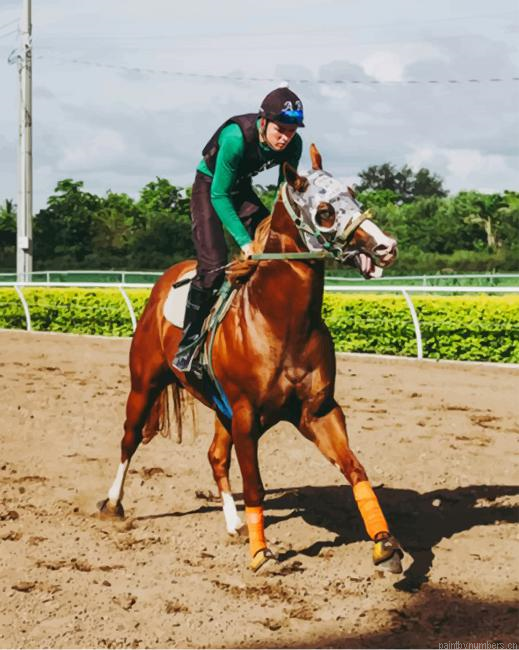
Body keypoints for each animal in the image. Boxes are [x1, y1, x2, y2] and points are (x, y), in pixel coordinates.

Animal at [98, 144, 404, 574]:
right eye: (325, 210)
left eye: (353, 194)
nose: (385, 246)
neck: (281, 320)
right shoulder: (245, 414)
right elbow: (256, 486)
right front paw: (262, 554)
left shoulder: (318, 411)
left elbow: (355, 469)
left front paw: (384, 543)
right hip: (144, 384)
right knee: (129, 440)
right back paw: (113, 503)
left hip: (219, 408)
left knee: (214, 457)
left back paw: (234, 523)